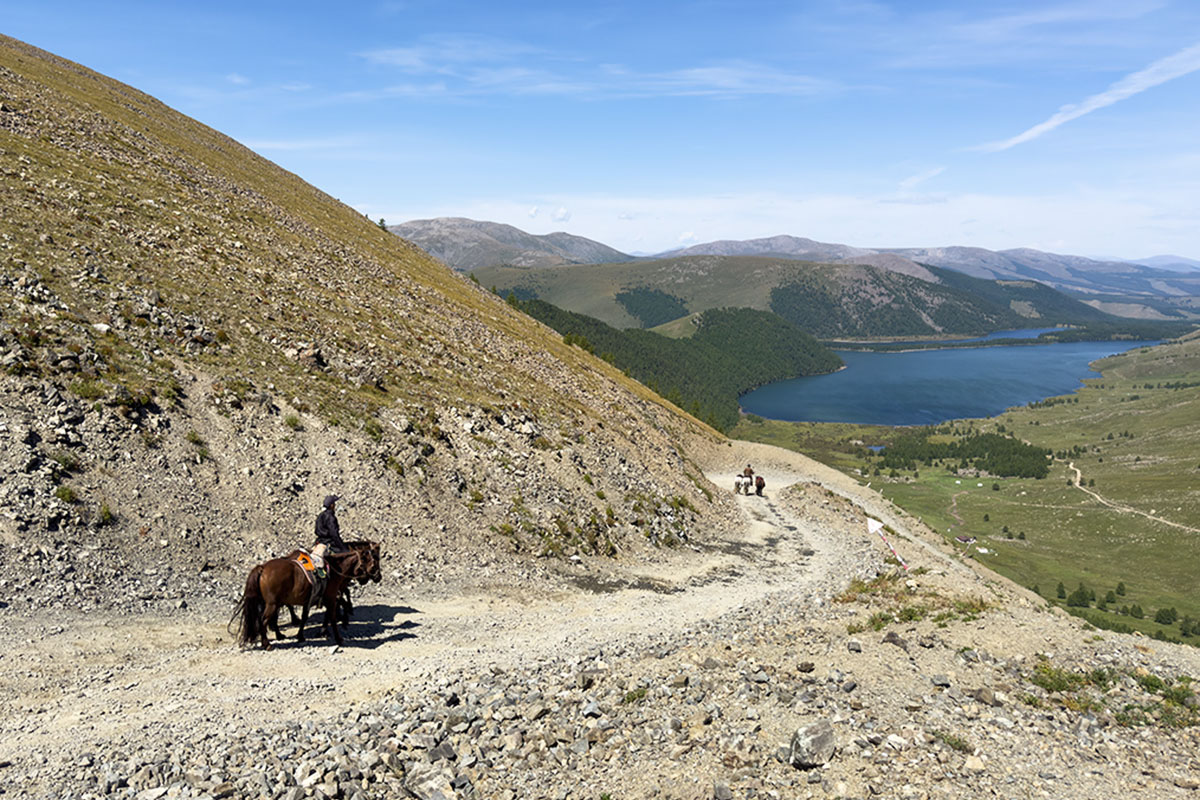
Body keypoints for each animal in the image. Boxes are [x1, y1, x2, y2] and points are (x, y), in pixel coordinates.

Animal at [232, 551, 360, 652]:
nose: (362, 580)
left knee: (268, 619)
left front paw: (301, 636)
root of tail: (262, 568)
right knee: (264, 620)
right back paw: (268, 644)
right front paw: (338, 637)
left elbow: (305, 617)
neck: (334, 571)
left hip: (273, 603)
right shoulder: (331, 599)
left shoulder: (309, 602)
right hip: (273, 604)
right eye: (366, 560)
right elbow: (332, 618)